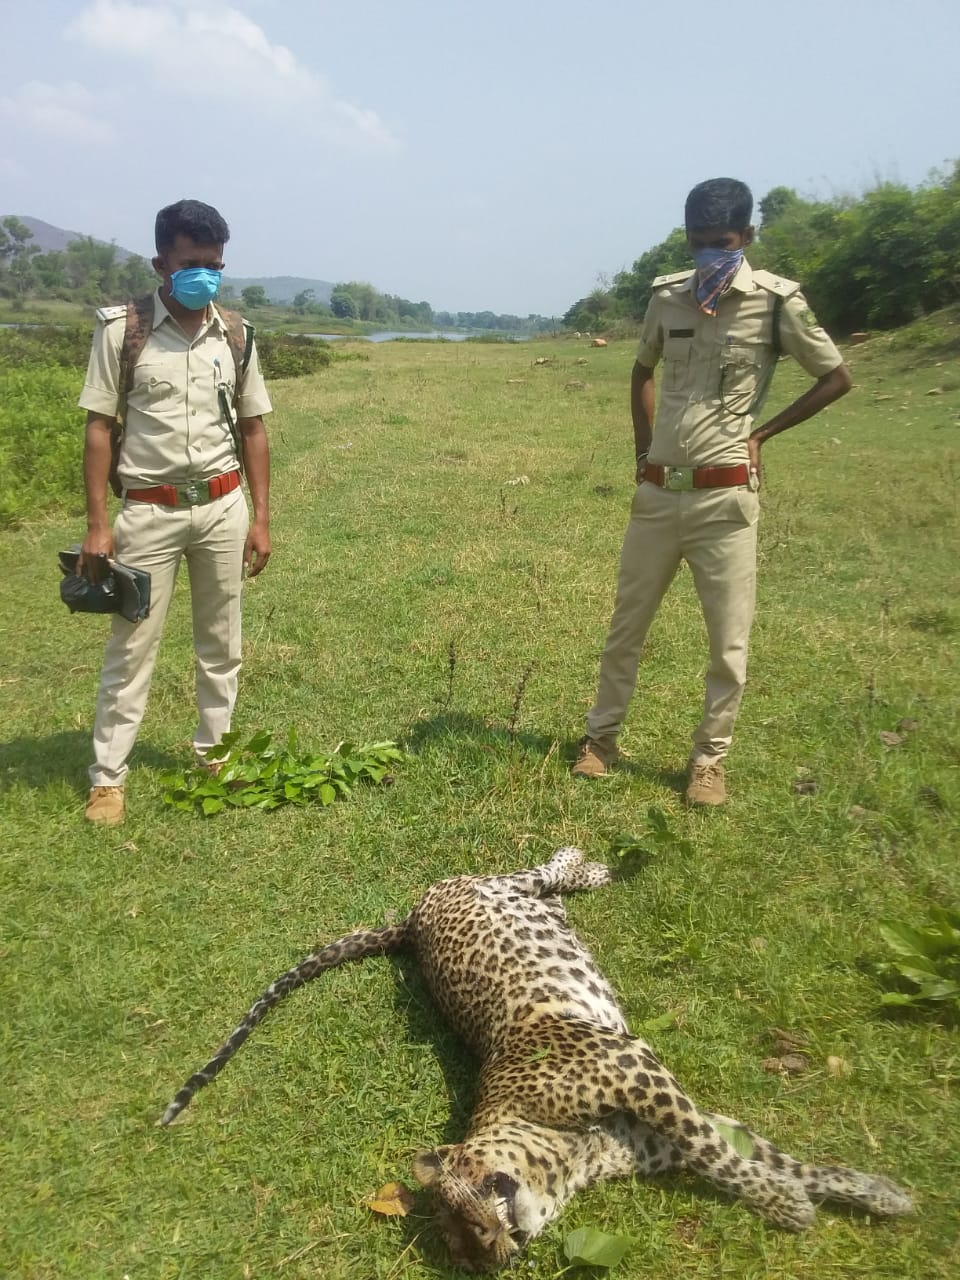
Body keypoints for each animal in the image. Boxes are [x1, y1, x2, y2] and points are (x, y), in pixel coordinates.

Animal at [161, 849, 911, 1269]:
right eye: (467, 1252)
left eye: (465, 1215)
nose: (501, 1248)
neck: (567, 1153)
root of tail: (409, 925)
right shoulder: (659, 1130)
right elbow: (752, 1155)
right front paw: (862, 1193)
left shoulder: (644, 1078)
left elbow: (732, 1160)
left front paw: (801, 1201)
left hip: (487, 885)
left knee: (534, 872)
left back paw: (585, 865)